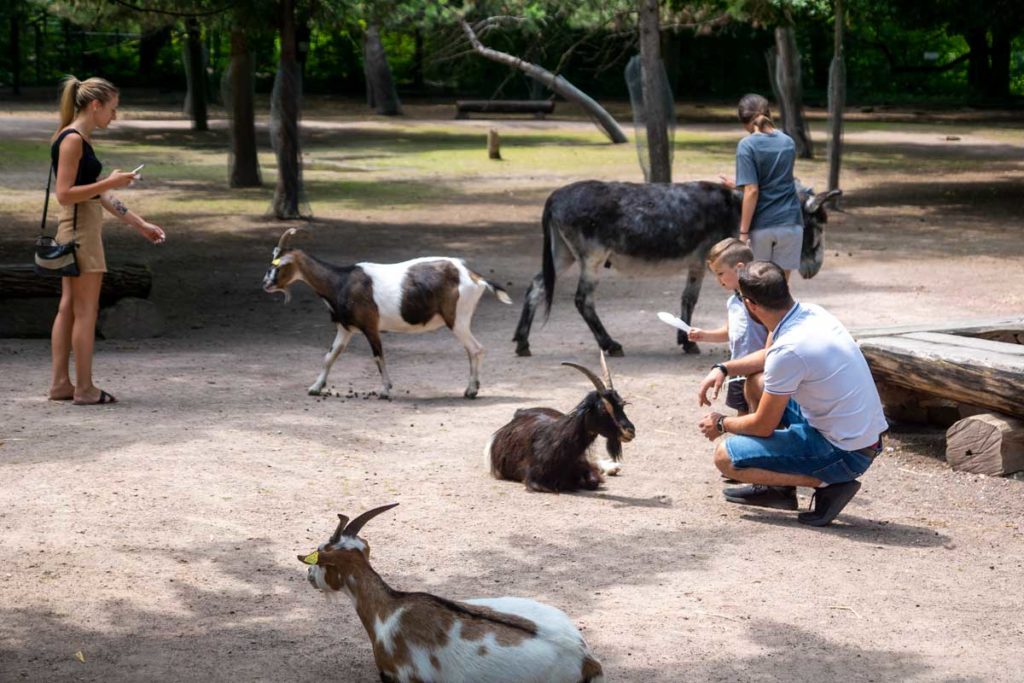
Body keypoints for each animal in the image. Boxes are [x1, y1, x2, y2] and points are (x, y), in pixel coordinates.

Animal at [260, 229, 507, 401]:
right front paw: (315, 388)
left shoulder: (370, 326)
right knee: (471, 350)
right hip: (460, 320)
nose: (266, 284)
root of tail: (474, 277)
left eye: (280, 266)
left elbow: (378, 357)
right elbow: (330, 356)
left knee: (476, 349)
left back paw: (471, 390)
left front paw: (386, 391)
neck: (341, 282)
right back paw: (471, 389)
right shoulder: (345, 328)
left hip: (458, 318)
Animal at [485, 356, 630, 493]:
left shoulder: (583, 464)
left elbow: (593, 480)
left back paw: (613, 467)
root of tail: (518, 413)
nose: (630, 431)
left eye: (622, 405)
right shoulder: (534, 480)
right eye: (603, 409)